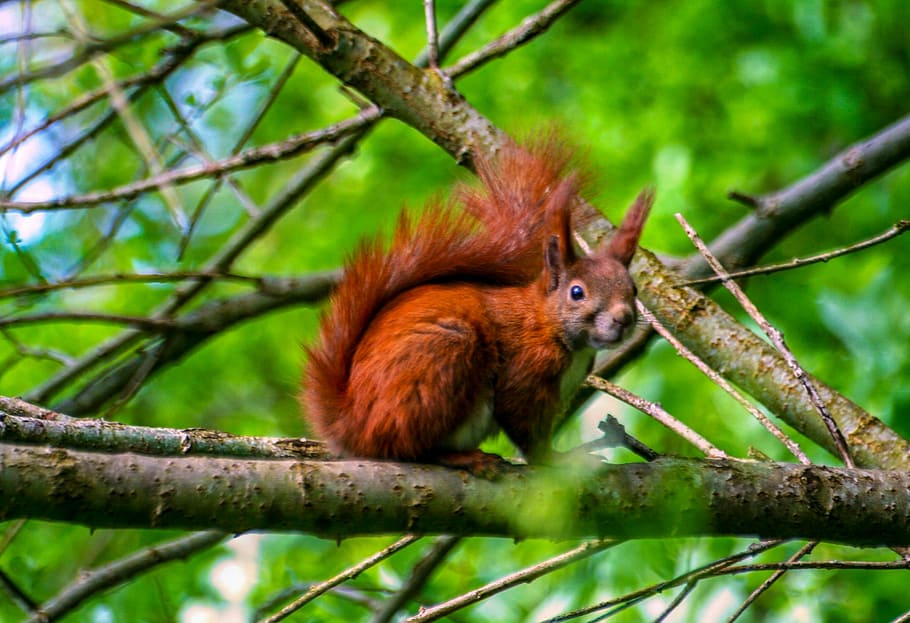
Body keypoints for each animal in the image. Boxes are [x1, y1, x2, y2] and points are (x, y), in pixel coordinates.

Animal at [301, 138, 652, 473]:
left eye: (633, 288)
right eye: (577, 292)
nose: (623, 318)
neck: (547, 323)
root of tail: (351, 425)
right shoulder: (525, 371)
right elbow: (525, 426)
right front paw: (558, 460)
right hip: (441, 357)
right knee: (407, 448)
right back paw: (463, 458)